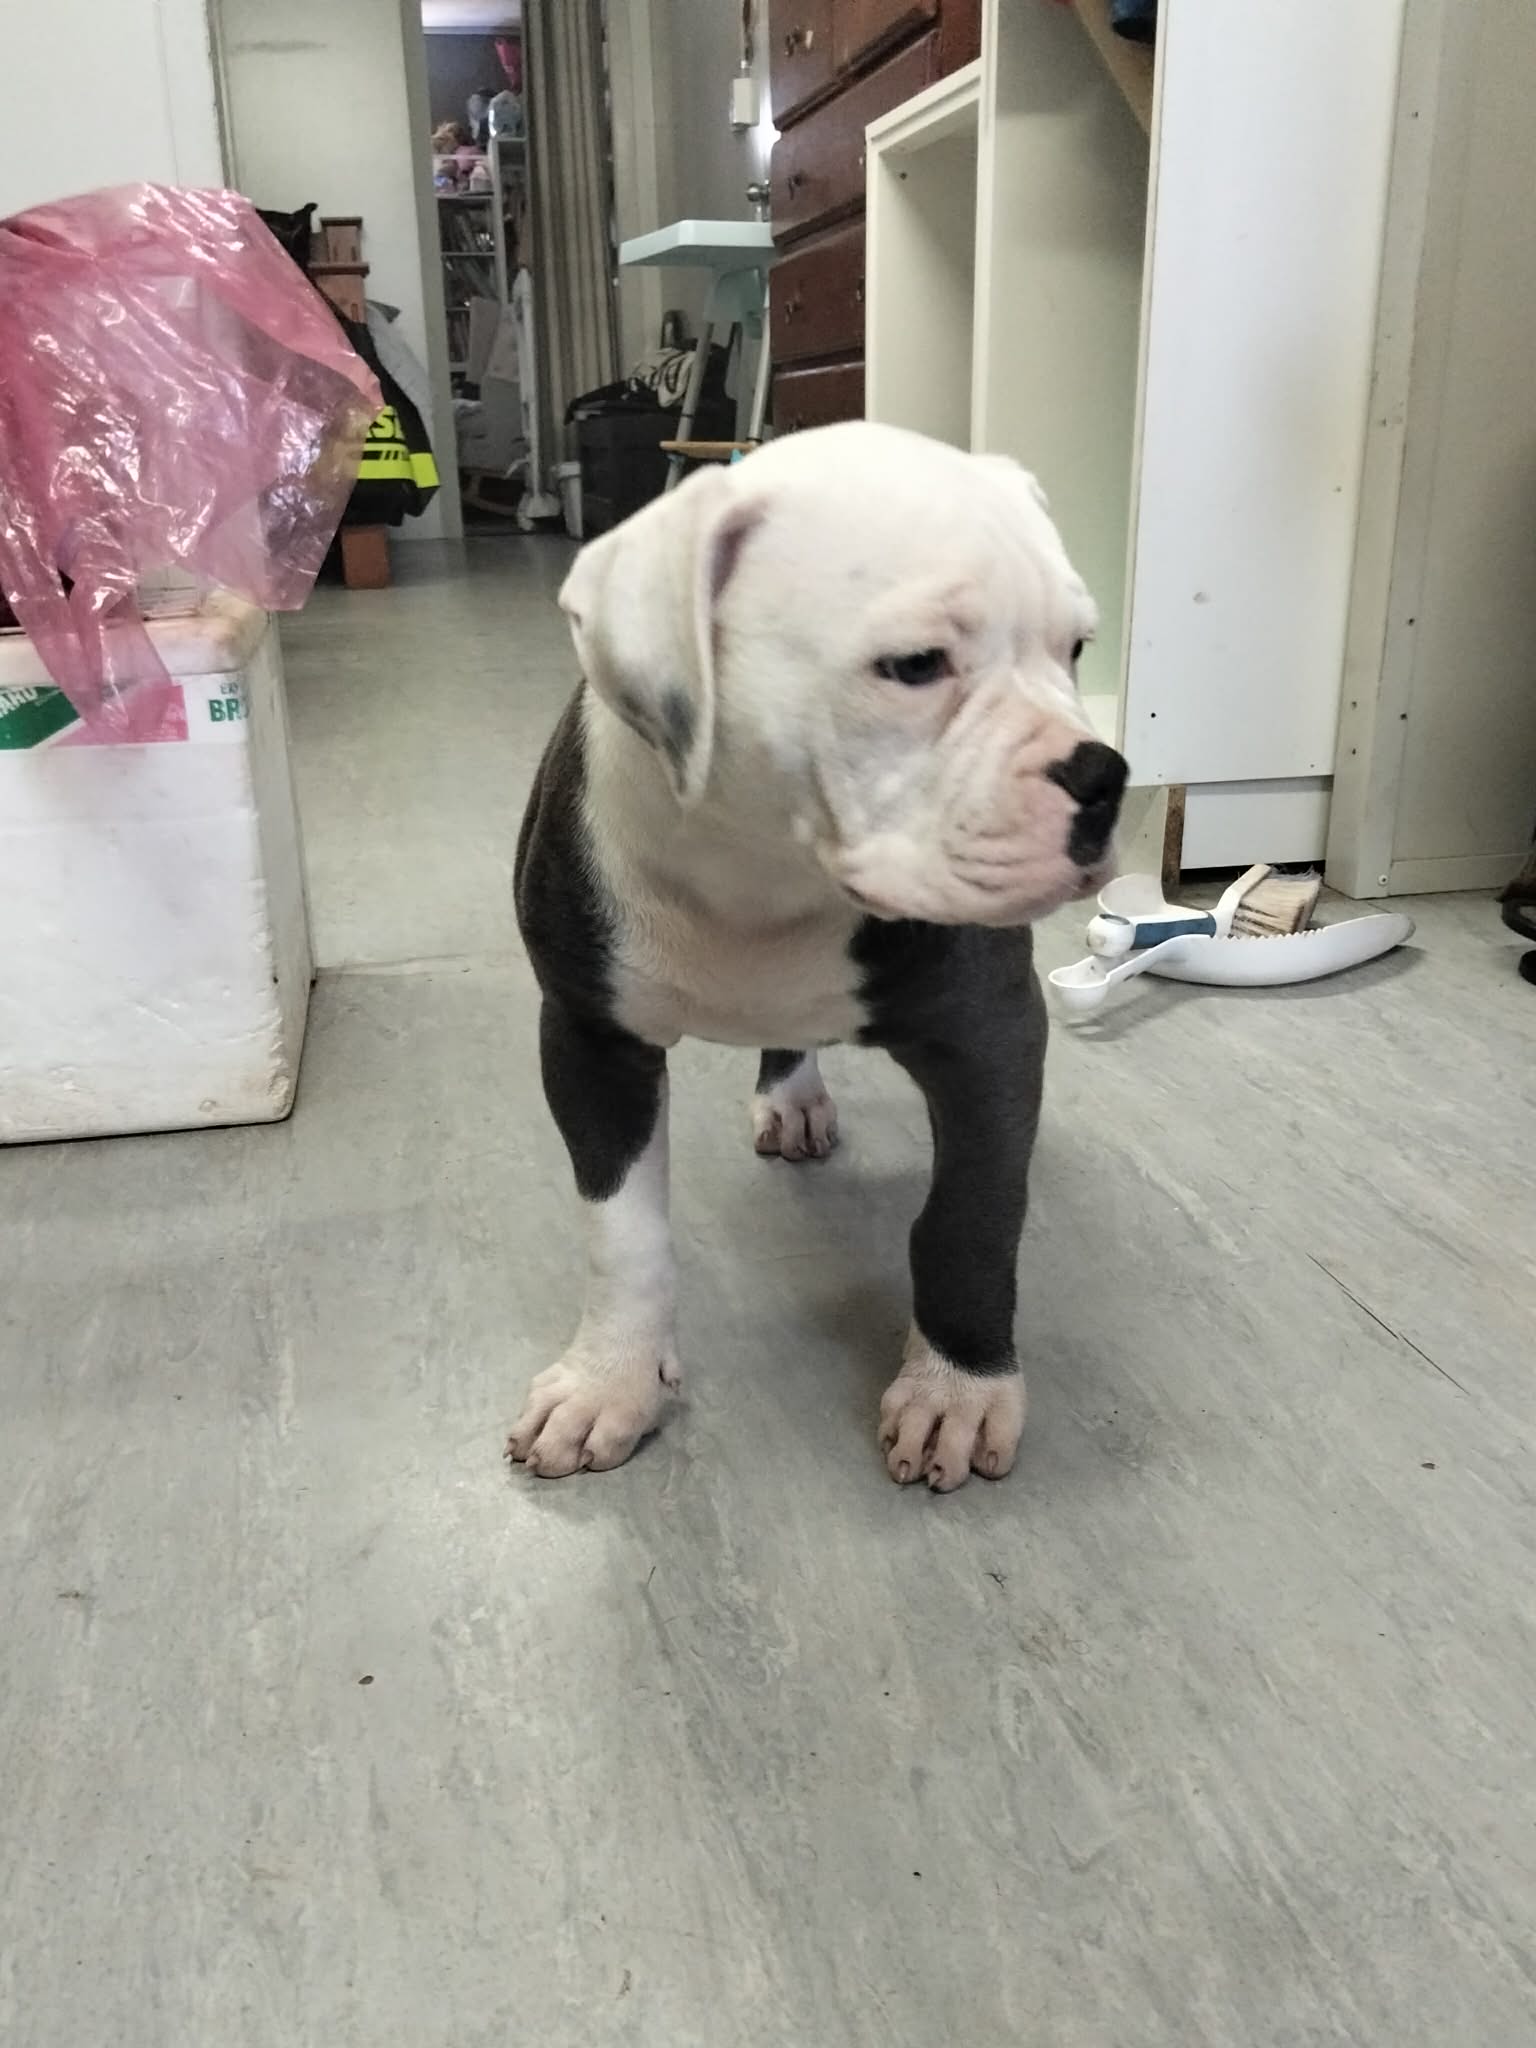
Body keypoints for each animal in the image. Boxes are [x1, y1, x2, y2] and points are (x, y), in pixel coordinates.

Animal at [506, 422, 1127, 1490]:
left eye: (1076, 648)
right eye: (915, 665)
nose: (1105, 775)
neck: (769, 872)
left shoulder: (992, 1036)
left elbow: (972, 1213)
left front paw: (957, 1389)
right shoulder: (588, 1039)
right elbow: (621, 1233)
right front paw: (609, 1379)